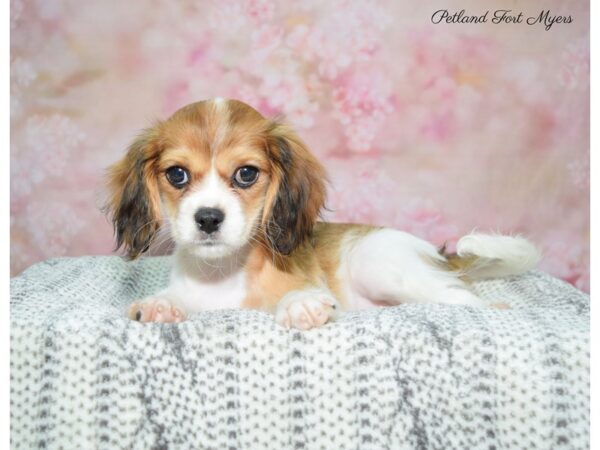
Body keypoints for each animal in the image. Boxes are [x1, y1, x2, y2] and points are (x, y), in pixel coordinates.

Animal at [105, 99, 540, 330]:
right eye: (177, 175)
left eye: (246, 174)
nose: (208, 218)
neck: (222, 275)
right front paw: (161, 304)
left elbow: (301, 295)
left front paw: (301, 304)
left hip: (380, 265)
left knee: (466, 300)